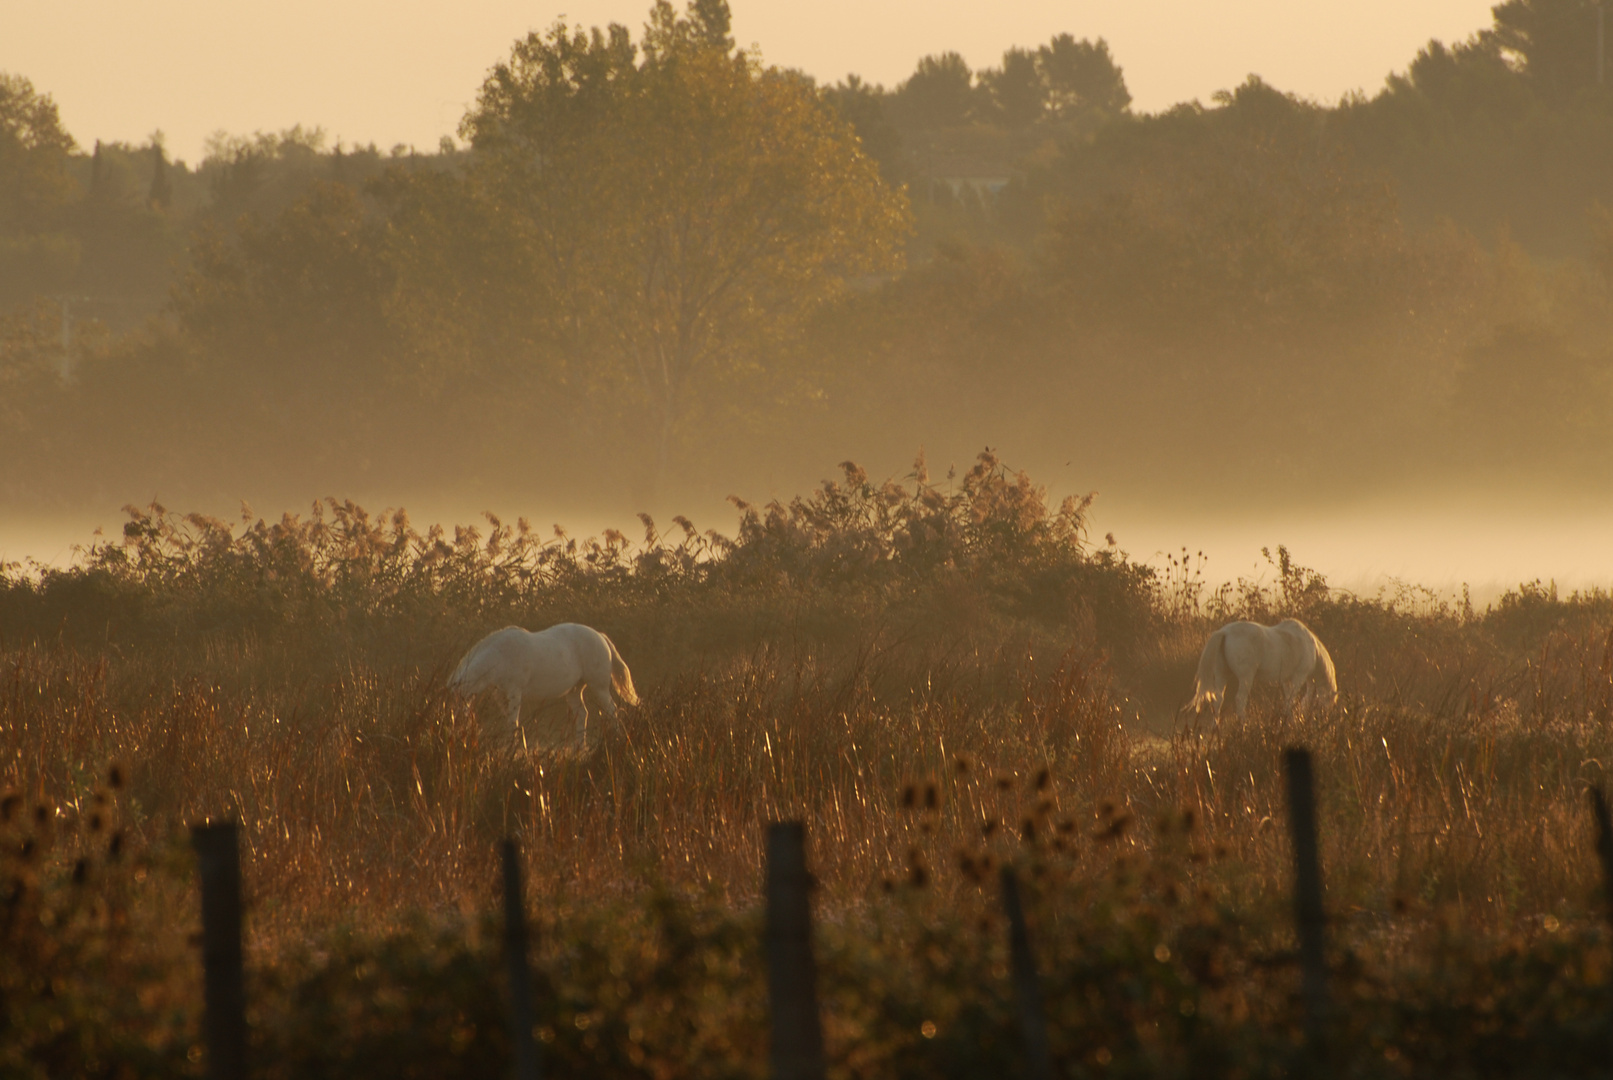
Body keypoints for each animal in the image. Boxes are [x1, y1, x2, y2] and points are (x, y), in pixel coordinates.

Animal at [451, 622, 638, 747]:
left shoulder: (514, 692)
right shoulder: (500, 694)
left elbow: (512, 721)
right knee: (582, 714)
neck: (499, 654)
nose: (459, 738)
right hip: (574, 690)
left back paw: (616, 739)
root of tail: (600, 636)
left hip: (599, 687)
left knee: (612, 711)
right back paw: (580, 748)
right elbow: (509, 720)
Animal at [1187, 622, 1335, 722]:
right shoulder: (1299, 676)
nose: (1327, 720)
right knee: (1240, 699)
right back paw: (1243, 726)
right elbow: (1295, 698)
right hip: (1246, 677)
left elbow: (1289, 700)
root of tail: (1224, 632)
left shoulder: (1286, 680)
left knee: (1218, 700)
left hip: (1221, 675)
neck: (1313, 649)